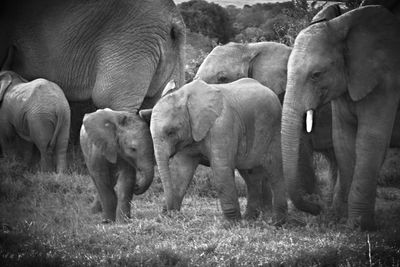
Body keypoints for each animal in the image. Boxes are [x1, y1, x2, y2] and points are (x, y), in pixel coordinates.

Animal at [147, 78, 288, 225]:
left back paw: (276, 222)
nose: (170, 213)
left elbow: (221, 169)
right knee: (251, 175)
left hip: (273, 129)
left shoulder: (222, 125)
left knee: (274, 171)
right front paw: (167, 216)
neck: (185, 96)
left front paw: (231, 224)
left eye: (171, 132)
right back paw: (250, 218)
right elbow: (181, 171)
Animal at [282, 5, 400, 231]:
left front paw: (359, 226)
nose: (318, 208)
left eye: (316, 75)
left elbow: (369, 140)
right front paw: (339, 219)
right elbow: (343, 140)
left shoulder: (386, 81)